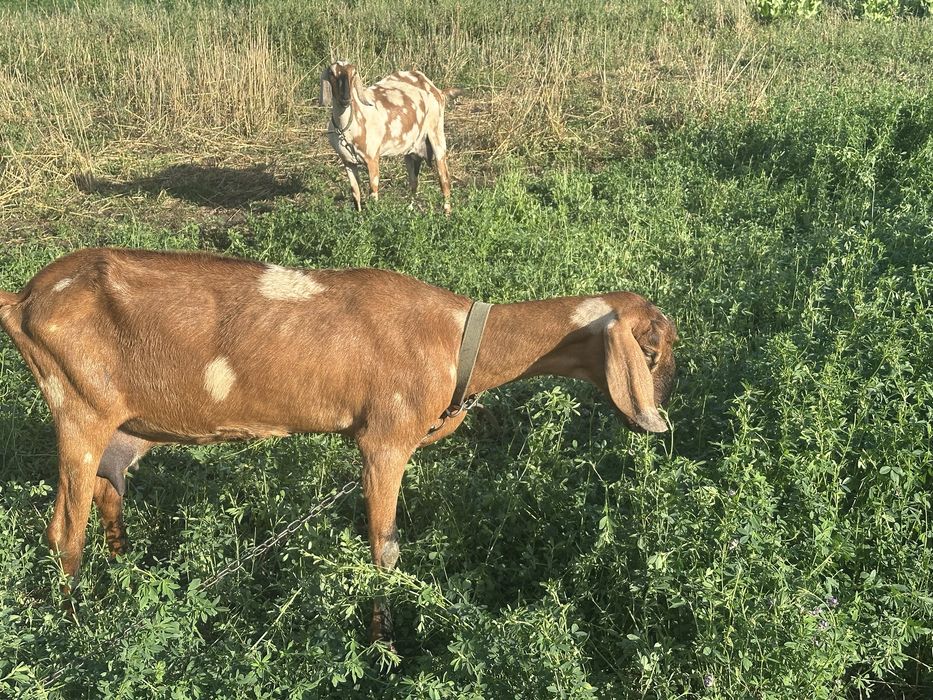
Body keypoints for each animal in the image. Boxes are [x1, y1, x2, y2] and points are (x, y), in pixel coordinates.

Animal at [0, 248, 677, 642]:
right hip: (78, 405)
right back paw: (77, 632)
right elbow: (385, 549)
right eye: (652, 350)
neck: (457, 339)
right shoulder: (385, 438)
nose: (666, 420)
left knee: (108, 494)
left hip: (122, 425)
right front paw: (383, 644)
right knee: (64, 532)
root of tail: (23, 299)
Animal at [319, 61, 457, 214]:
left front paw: (373, 216)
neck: (349, 127)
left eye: (353, 73)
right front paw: (359, 216)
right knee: (414, 181)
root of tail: (436, 89)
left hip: (436, 134)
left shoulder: (372, 159)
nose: (346, 99)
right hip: (411, 151)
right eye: (332, 73)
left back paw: (446, 212)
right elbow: (355, 193)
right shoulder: (347, 162)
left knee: (444, 178)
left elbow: (373, 192)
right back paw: (409, 210)